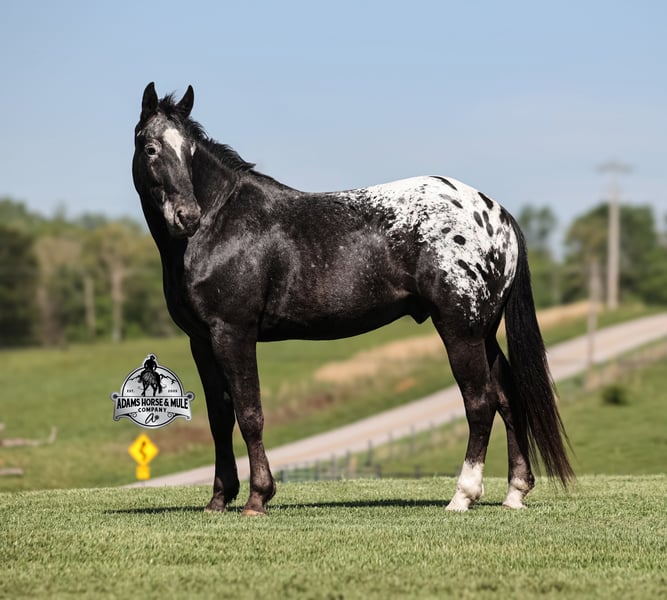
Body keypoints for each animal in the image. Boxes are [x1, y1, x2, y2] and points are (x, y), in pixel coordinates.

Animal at [132, 82, 574, 515]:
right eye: (151, 148)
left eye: (190, 152)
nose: (187, 216)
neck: (222, 222)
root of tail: (497, 214)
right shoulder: (202, 341)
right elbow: (220, 419)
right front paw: (219, 499)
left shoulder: (233, 333)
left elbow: (250, 413)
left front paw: (258, 497)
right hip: (482, 329)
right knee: (507, 397)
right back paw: (515, 492)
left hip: (459, 329)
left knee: (480, 402)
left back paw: (462, 496)